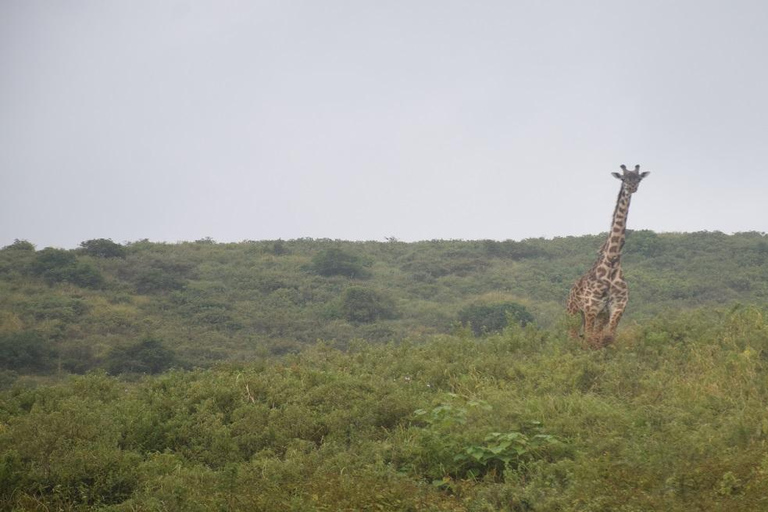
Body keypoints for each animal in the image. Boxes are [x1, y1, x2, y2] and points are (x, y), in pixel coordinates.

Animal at [568, 164, 652, 348]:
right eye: (624, 178)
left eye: (638, 178)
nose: (632, 187)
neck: (613, 261)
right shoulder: (592, 306)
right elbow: (590, 339)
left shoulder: (616, 306)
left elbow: (607, 337)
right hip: (573, 311)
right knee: (573, 336)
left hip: (599, 316)